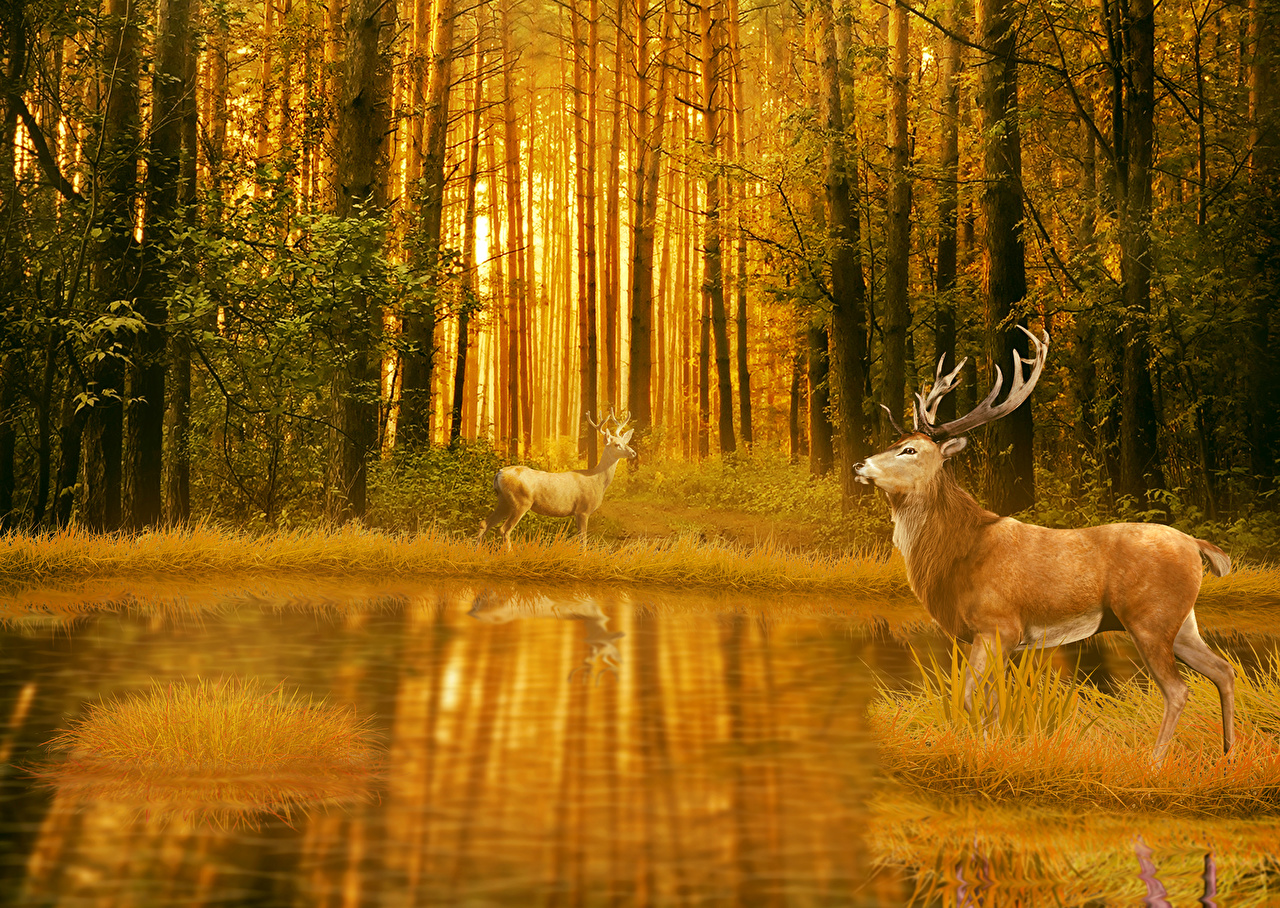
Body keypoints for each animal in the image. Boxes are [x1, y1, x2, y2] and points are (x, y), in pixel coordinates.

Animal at [477, 410, 637, 549]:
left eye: (625, 442)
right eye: (617, 444)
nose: (633, 453)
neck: (596, 480)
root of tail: (499, 473)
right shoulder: (582, 510)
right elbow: (583, 539)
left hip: (504, 501)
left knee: (484, 523)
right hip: (520, 502)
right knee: (504, 529)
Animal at [853, 327, 1235, 766]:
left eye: (910, 449)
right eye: (895, 441)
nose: (859, 465)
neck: (958, 552)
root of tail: (1195, 544)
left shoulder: (997, 623)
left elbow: (969, 697)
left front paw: (984, 752)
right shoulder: (1000, 638)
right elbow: (991, 701)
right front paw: (993, 748)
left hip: (1150, 617)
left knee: (1178, 689)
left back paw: (1154, 763)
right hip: (1183, 621)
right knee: (1223, 669)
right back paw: (1228, 755)